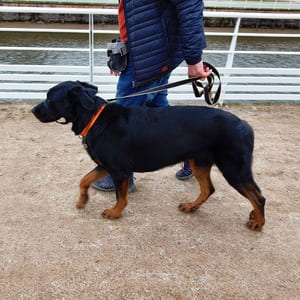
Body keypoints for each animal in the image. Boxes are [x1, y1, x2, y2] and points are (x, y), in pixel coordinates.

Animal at [32, 81, 264, 231]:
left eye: (50, 98)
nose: (33, 110)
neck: (94, 118)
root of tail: (246, 125)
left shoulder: (119, 170)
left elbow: (121, 197)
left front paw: (115, 213)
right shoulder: (106, 166)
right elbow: (84, 179)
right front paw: (82, 200)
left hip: (234, 168)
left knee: (258, 197)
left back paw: (259, 222)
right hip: (199, 162)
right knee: (209, 189)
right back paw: (192, 206)